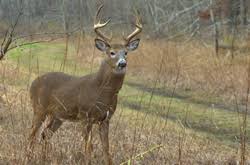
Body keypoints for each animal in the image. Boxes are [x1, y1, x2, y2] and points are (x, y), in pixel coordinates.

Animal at [27, 4, 143, 164]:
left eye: (126, 52)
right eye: (112, 52)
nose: (122, 63)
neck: (102, 92)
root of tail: (33, 83)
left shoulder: (105, 119)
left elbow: (107, 150)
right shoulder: (85, 116)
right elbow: (89, 148)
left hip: (57, 116)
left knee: (46, 133)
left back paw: (44, 159)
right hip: (39, 108)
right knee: (32, 135)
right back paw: (28, 158)